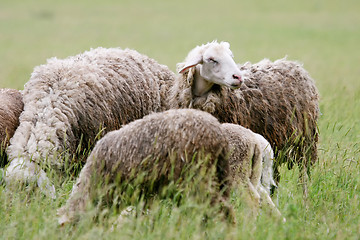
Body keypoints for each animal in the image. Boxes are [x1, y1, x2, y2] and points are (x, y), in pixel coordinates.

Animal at [167, 46, 320, 189]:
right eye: (211, 59)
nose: (238, 77)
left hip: (305, 143)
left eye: (231, 56)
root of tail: (294, 65)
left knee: (304, 174)